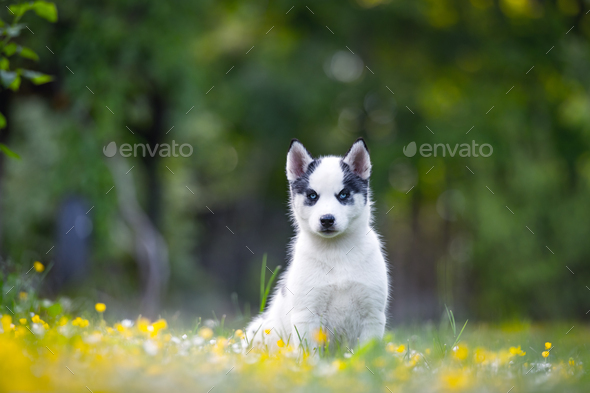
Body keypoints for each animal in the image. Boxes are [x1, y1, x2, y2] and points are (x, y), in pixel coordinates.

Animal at [247, 139, 390, 352]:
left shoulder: (372, 313)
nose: (327, 220)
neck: (337, 252)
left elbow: (367, 352)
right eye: (312, 196)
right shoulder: (306, 314)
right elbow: (310, 353)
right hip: (258, 330)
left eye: (343, 194)